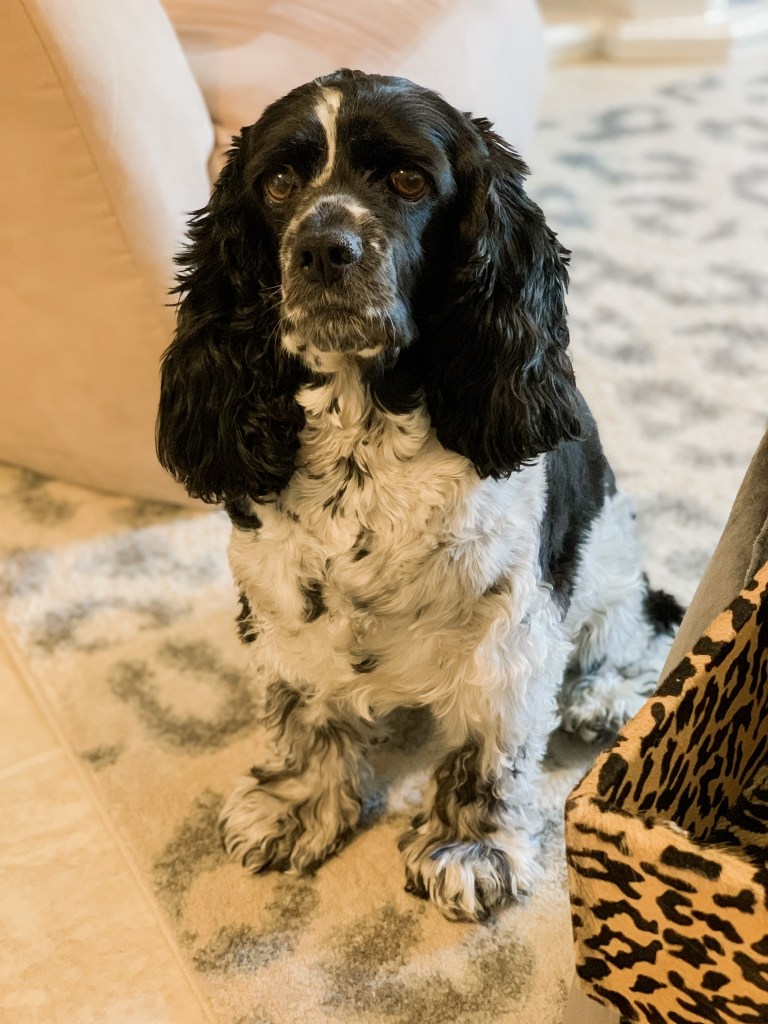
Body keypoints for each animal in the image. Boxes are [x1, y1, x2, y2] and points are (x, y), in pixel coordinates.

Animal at [156, 69, 683, 923]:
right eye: (278, 183)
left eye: (408, 180)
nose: (323, 247)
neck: (365, 437)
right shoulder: (279, 602)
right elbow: (302, 714)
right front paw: (296, 806)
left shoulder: (509, 626)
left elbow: (489, 745)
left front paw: (469, 848)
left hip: (608, 557)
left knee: (643, 627)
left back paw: (601, 696)